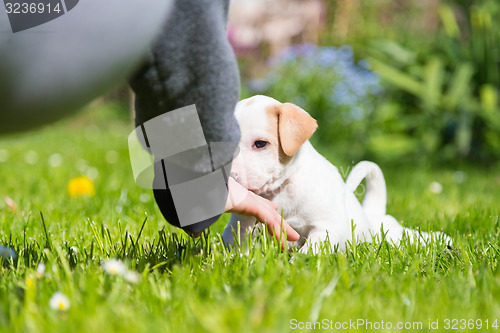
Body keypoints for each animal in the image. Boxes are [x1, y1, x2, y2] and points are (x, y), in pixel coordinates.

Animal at [223, 95, 450, 252]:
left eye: (260, 144)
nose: (229, 178)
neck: (282, 189)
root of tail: (371, 212)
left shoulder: (328, 226)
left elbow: (311, 250)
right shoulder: (241, 223)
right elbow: (237, 242)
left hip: (391, 234)